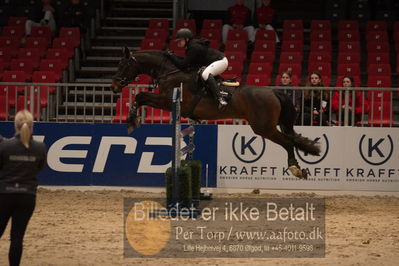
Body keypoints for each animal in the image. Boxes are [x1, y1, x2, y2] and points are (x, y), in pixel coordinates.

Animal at [111, 48, 320, 181]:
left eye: (122, 65)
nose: (114, 87)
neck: (170, 71)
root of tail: (274, 92)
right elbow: (141, 97)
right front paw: (132, 119)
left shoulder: (167, 102)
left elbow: (140, 96)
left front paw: (131, 121)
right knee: (291, 140)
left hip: (264, 127)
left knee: (288, 142)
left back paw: (295, 169)